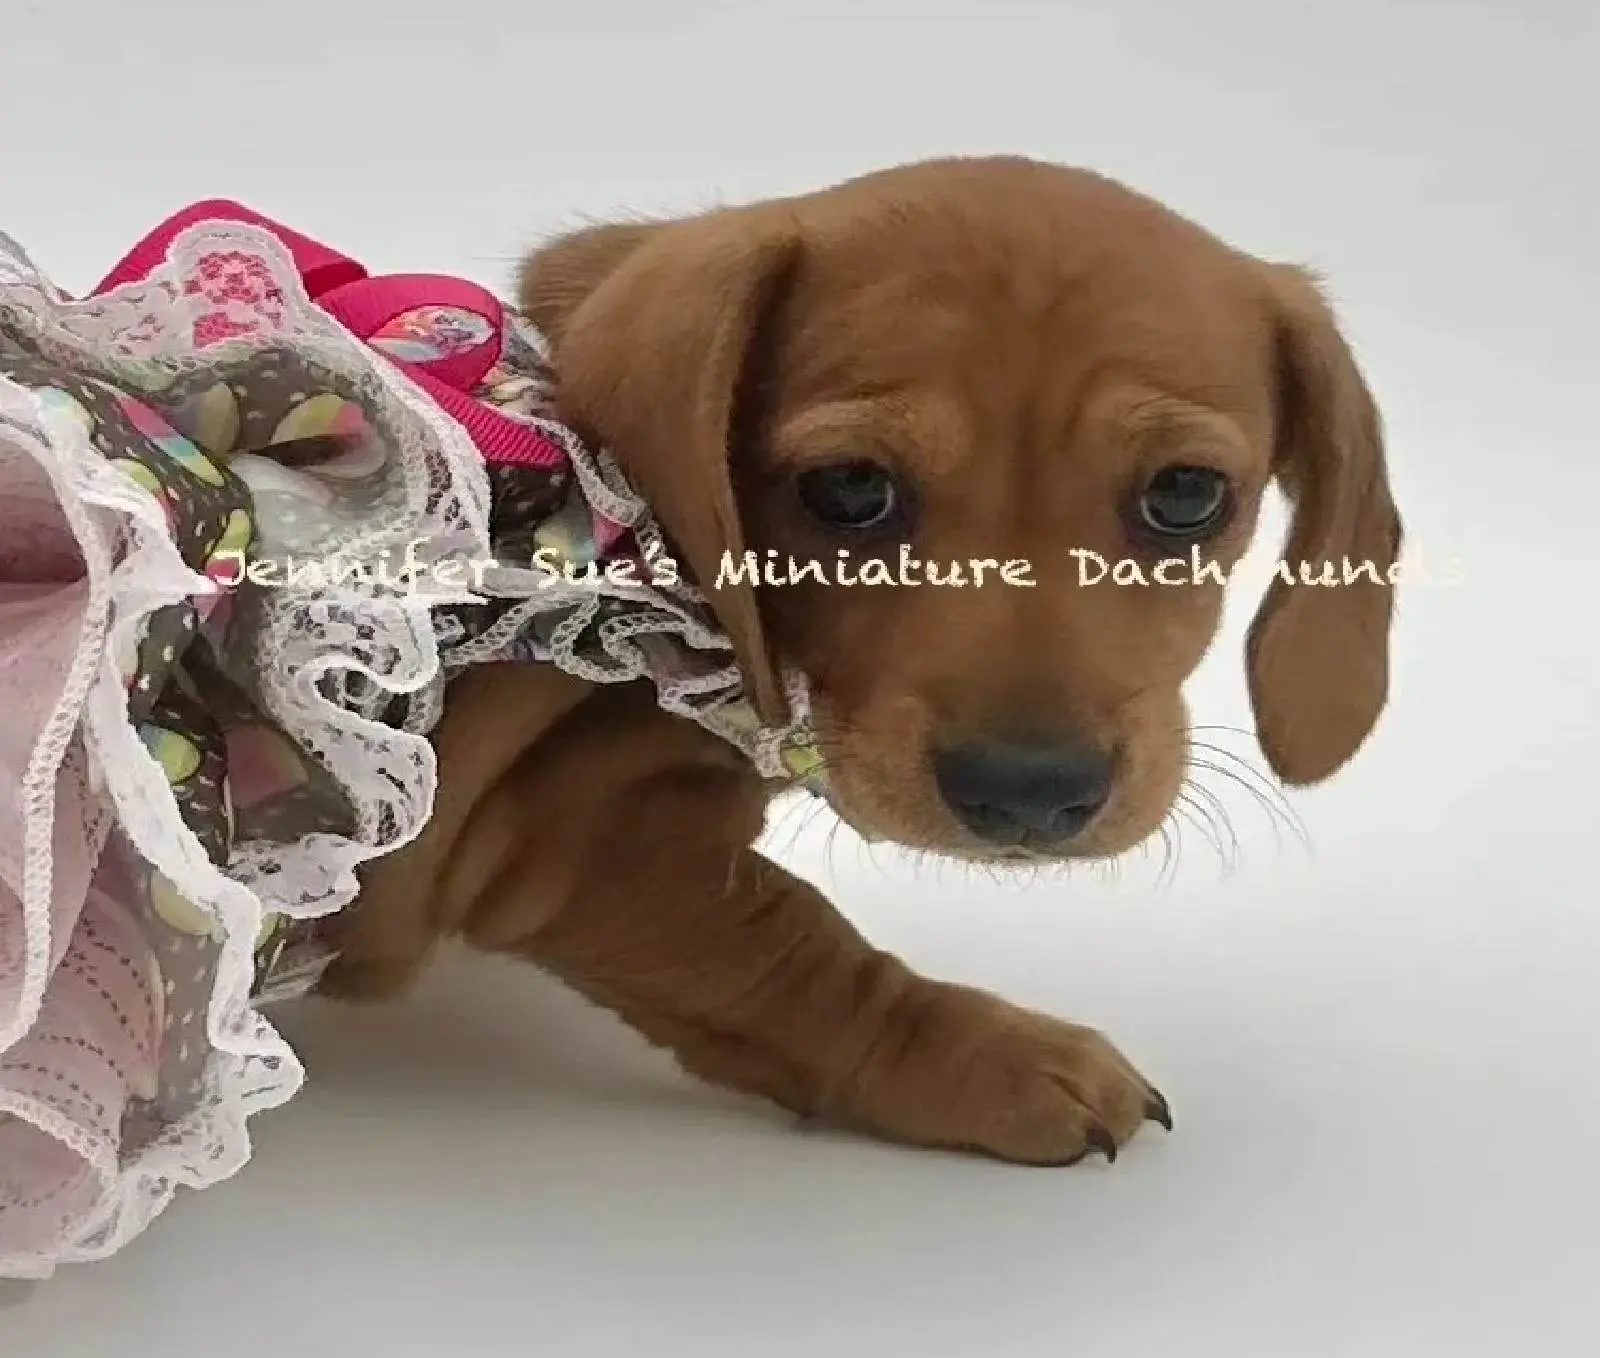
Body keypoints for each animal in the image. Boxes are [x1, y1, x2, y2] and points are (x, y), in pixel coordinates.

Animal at [315, 153, 1401, 1158]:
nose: (1028, 793)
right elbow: (803, 961)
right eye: (847, 488)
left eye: (1186, 494)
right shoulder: (570, 838)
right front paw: (991, 1056)